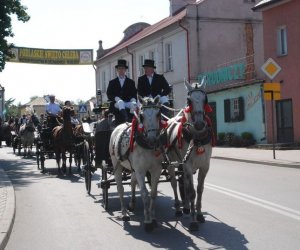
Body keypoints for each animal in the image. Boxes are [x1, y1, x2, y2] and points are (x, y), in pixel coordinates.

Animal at [109, 96, 163, 232]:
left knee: (133, 183)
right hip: (116, 164)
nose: (152, 139)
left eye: (158, 114)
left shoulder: (156, 170)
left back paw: (132, 204)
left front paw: (153, 217)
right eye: (142, 116)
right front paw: (148, 221)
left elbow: (153, 192)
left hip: (133, 168)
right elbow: (144, 194)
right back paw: (124, 213)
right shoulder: (140, 171)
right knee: (120, 189)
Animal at [164, 79, 213, 231]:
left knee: (184, 183)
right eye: (189, 100)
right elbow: (191, 192)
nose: (199, 124)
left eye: (205, 99)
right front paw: (193, 221)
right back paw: (178, 208)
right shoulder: (188, 165)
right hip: (171, 164)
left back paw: (186, 208)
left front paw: (199, 214)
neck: (196, 137)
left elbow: (199, 190)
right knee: (174, 183)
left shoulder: (204, 166)